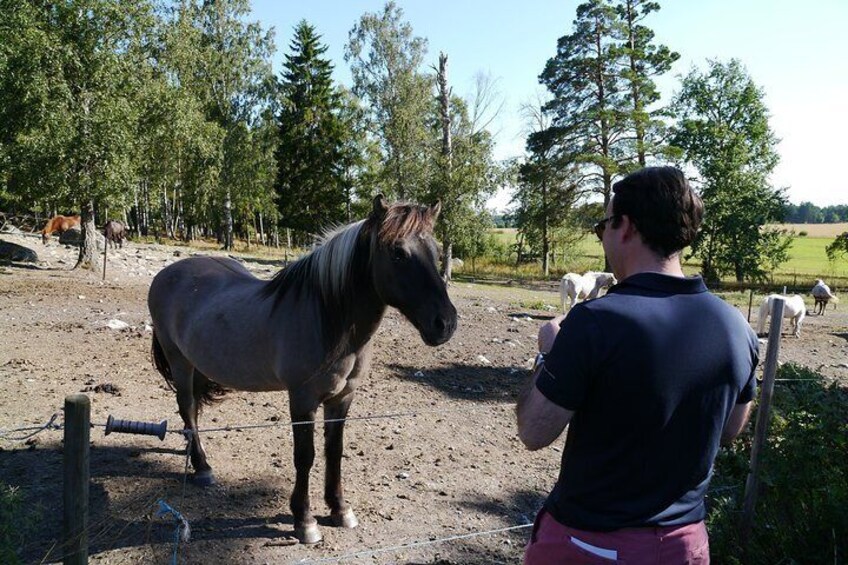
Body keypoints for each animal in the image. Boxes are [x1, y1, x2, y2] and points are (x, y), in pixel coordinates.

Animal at [149, 196, 460, 544]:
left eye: (436, 251)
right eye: (398, 253)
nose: (445, 323)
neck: (327, 318)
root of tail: (167, 273)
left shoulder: (342, 398)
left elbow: (334, 451)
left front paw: (339, 509)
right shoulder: (302, 399)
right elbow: (305, 456)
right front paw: (304, 520)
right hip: (180, 361)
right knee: (187, 407)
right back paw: (202, 467)